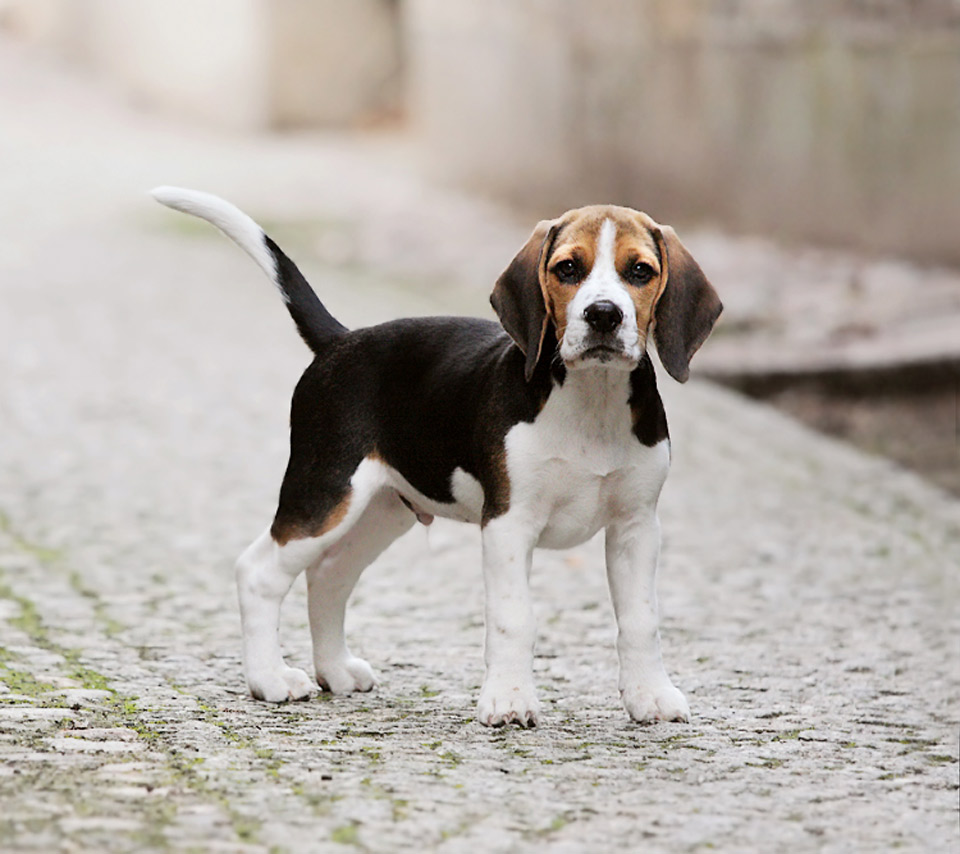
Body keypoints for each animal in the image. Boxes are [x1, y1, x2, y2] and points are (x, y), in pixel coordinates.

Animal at [152, 187, 720, 728]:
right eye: (568, 269)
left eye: (640, 270)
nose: (603, 314)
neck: (592, 399)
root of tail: (342, 341)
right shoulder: (509, 524)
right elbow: (514, 617)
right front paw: (510, 701)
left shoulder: (637, 527)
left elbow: (641, 620)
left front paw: (650, 697)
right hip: (326, 494)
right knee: (258, 572)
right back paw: (269, 679)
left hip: (383, 510)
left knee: (329, 576)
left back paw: (334, 670)